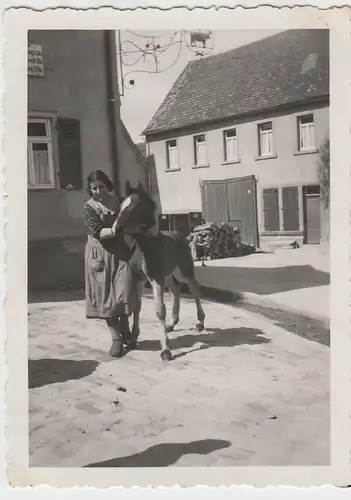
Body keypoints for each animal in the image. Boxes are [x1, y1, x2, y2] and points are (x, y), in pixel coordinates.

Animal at [113, 182, 206, 362]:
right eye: (121, 206)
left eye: (134, 207)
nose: (115, 228)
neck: (145, 245)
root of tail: (182, 235)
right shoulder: (139, 279)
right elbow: (136, 307)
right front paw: (133, 339)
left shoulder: (156, 278)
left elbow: (160, 310)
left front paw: (165, 350)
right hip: (169, 275)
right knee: (176, 290)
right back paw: (172, 323)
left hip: (183, 270)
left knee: (194, 287)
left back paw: (200, 322)